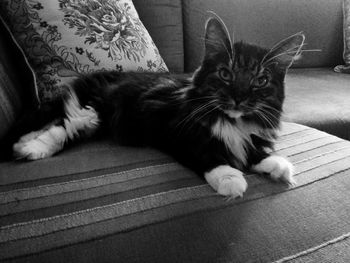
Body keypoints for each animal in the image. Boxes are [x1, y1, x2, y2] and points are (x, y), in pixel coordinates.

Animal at [8, 17, 304, 198]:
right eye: (225, 74)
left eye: (261, 80)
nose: (239, 97)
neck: (233, 121)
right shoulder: (174, 129)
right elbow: (206, 153)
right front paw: (229, 177)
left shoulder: (252, 134)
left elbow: (255, 150)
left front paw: (275, 164)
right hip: (93, 112)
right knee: (63, 126)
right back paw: (31, 148)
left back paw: (24, 142)